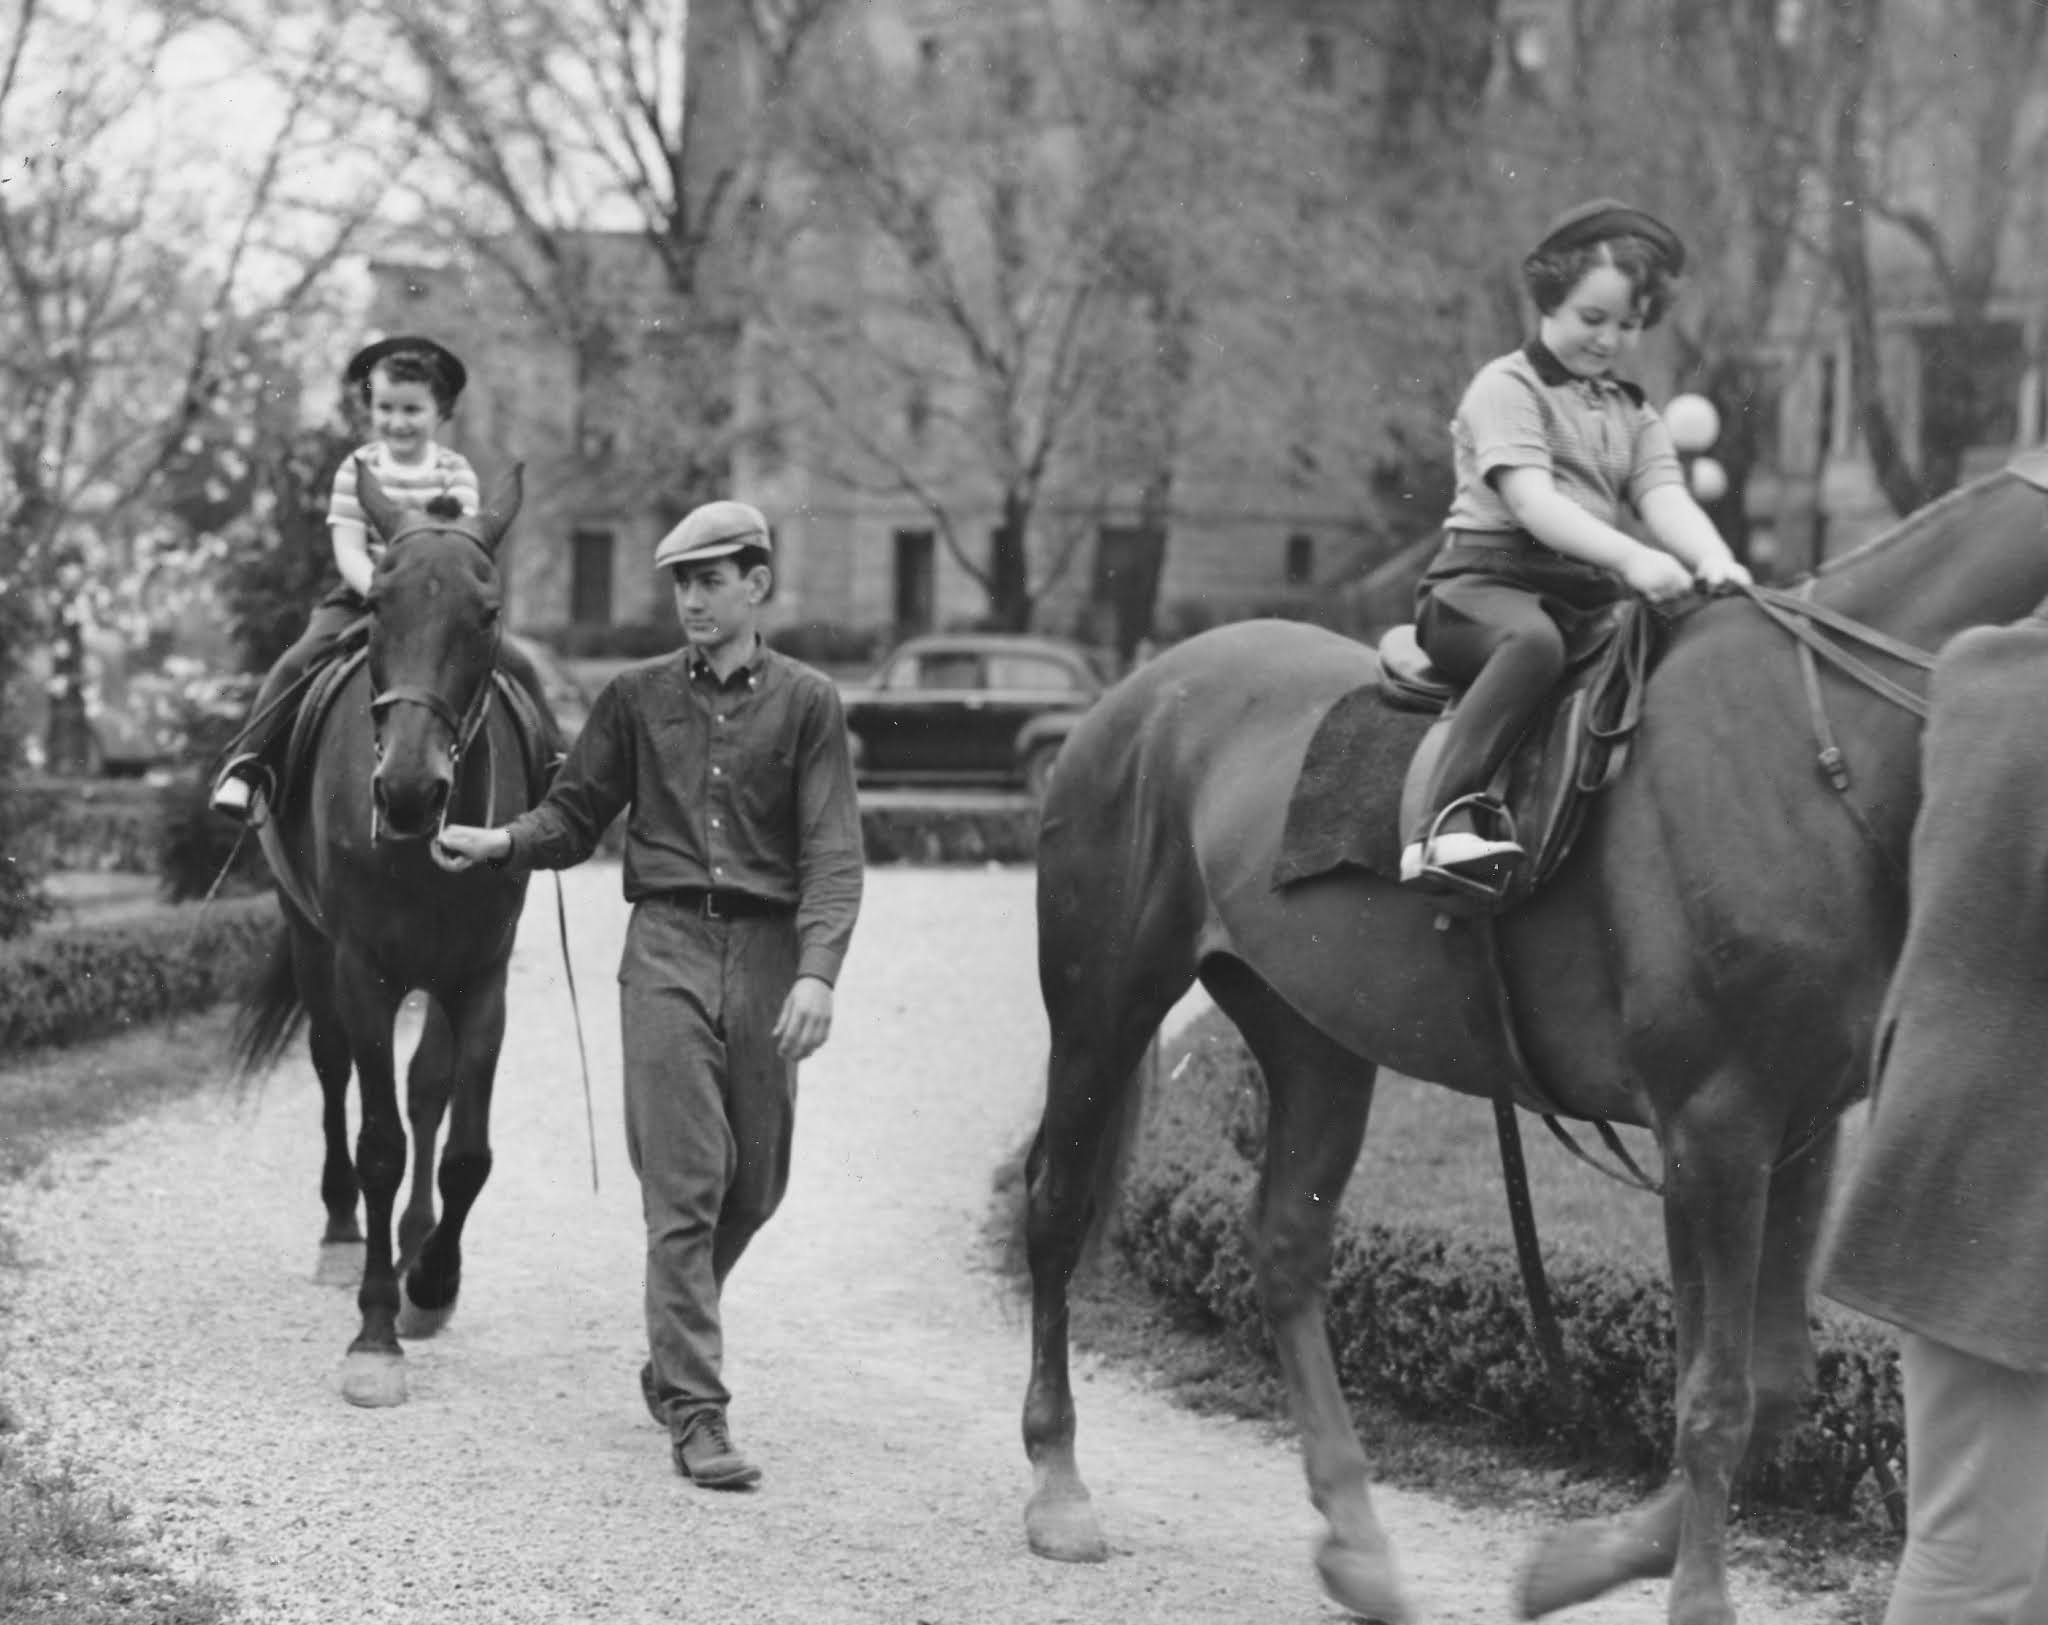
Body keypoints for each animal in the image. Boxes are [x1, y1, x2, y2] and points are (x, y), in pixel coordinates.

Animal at [232, 459, 548, 1409]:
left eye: (486, 612)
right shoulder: (363, 970)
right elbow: (378, 1144)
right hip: (309, 941)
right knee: (335, 1071)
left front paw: (432, 1280)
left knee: (427, 1091)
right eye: (378, 604)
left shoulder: (481, 976)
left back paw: (413, 1246)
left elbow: (465, 1149)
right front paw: (374, 1331)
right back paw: (344, 1235)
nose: (409, 790)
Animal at [1032, 459, 2048, 1622]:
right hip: (1102, 1003)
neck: (1812, 740)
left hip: (1314, 1037)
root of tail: (1142, 692)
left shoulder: (1798, 1127)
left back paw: (1354, 1534)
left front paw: (1592, 1556)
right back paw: (1057, 1482)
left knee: (1285, 1249)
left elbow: (1776, 1379)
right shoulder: (1712, 1128)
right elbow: (1713, 1393)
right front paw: (1688, 1589)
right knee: (1058, 1211)